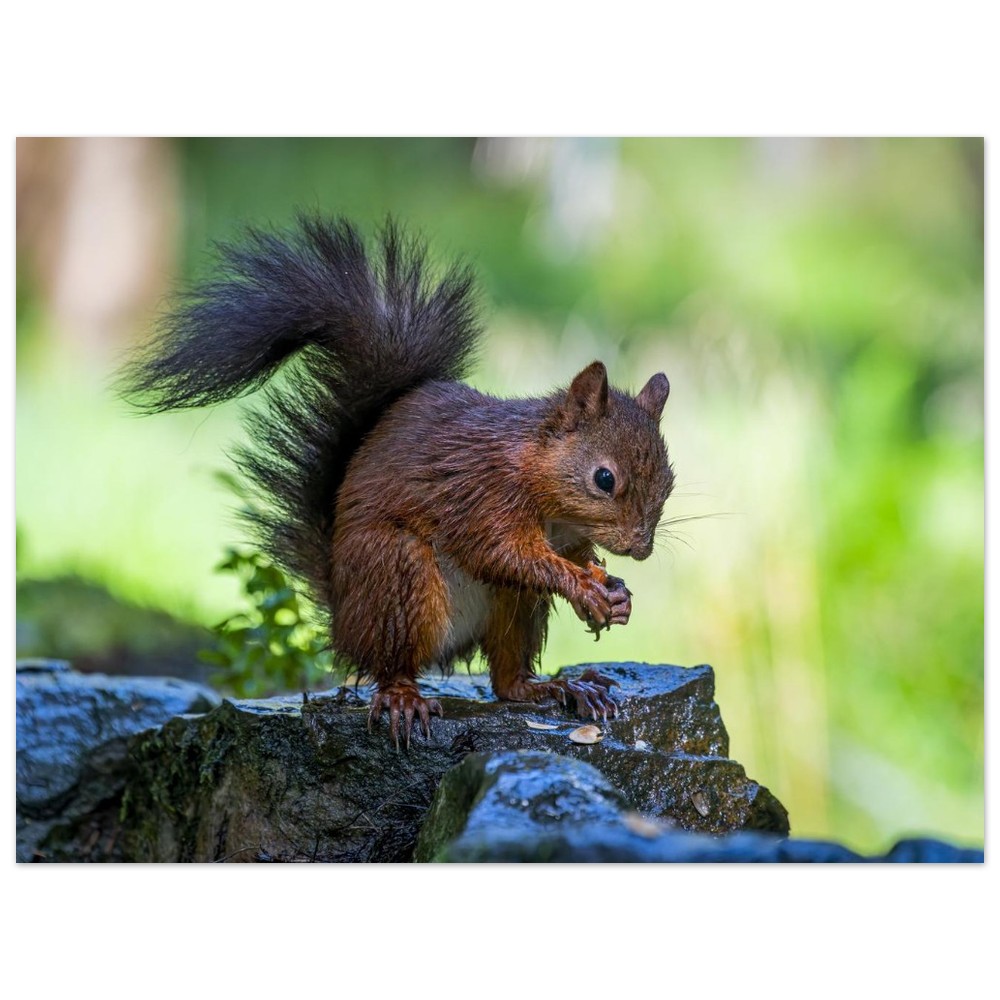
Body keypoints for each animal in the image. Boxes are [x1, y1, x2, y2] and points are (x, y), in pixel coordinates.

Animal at [120, 215, 675, 747]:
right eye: (604, 478)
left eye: (669, 481)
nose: (641, 548)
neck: (542, 484)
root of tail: (343, 619)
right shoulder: (481, 495)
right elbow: (504, 553)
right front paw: (584, 586)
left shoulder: (564, 533)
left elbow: (570, 556)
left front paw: (613, 591)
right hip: (396, 576)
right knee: (392, 664)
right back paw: (404, 697)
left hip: (512, 607)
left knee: (506, 680)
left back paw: (557, 687)